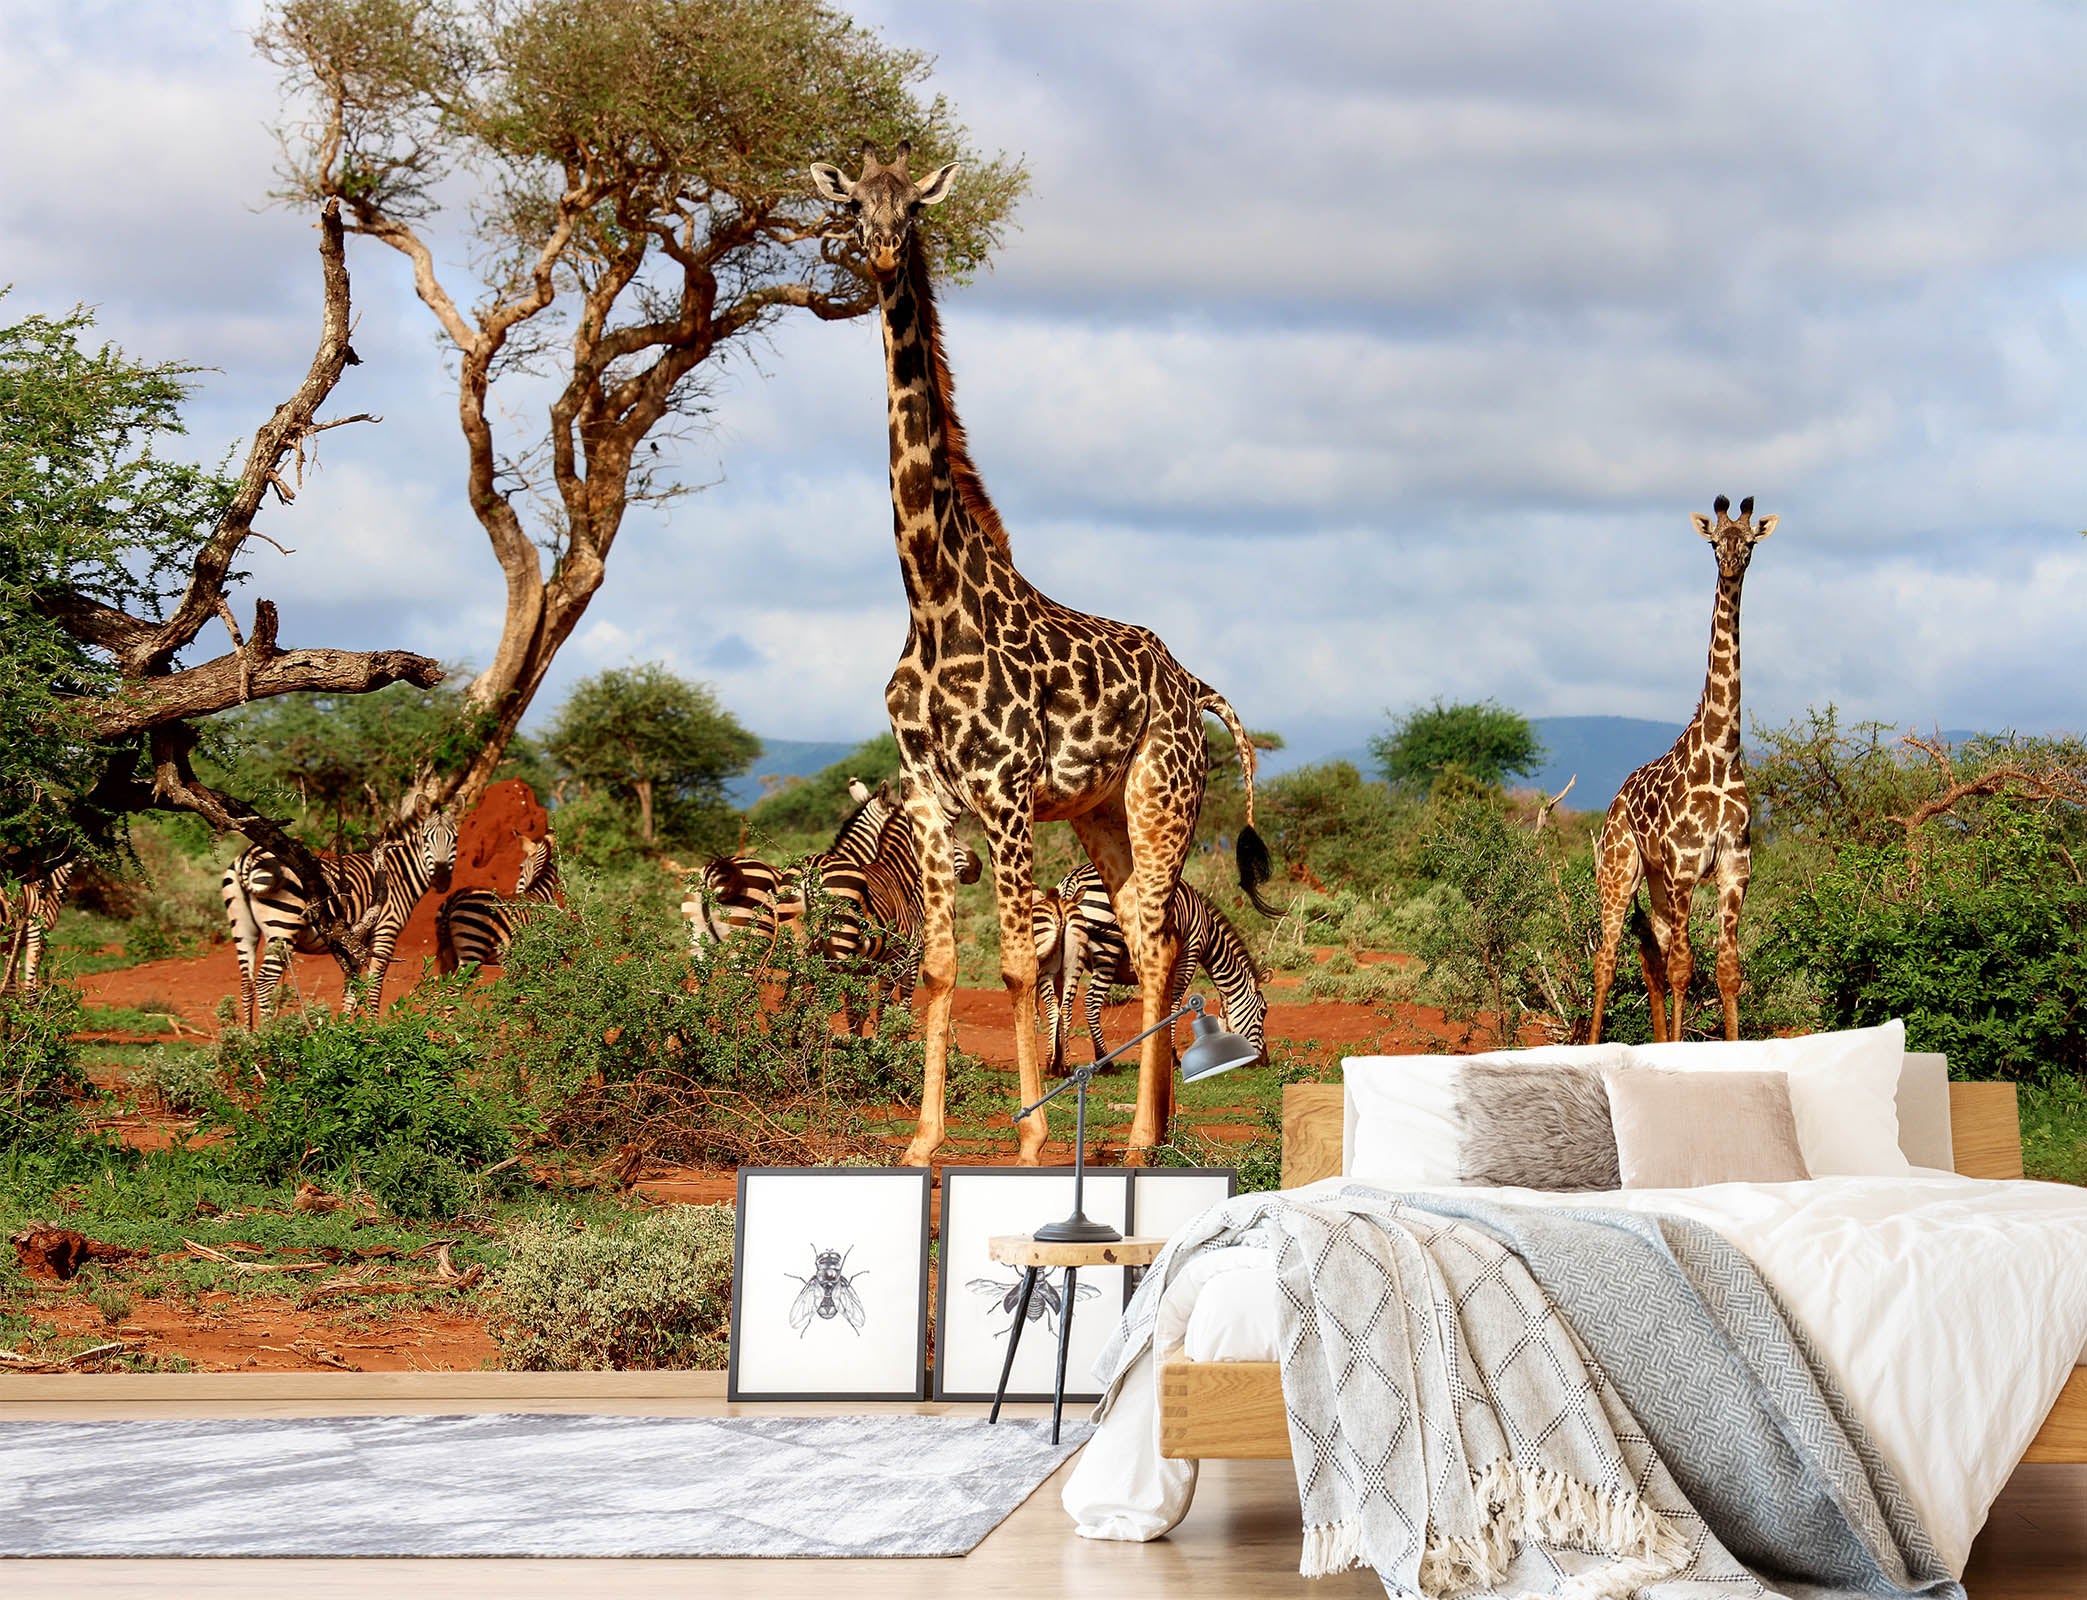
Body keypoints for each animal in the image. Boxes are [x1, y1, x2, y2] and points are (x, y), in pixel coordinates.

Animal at [809, 142, 1278, 1165]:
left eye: (913, 206)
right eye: (853, 204)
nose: (878, 251)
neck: (931, 600)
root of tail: (1194, 686)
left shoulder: (1006, 792)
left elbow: (1021, 965)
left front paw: (1025, 1140)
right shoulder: (930, 797)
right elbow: (943, 967)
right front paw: (921, 1143)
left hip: (1159, 797)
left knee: (1157, 936)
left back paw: (1138, 1138)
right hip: (1100, 812)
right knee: (1151, 936)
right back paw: (1150, 1129)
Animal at [1589, 493, 1778, 1045]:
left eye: (1749, 542)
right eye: (1716, 542)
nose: (1731, 564)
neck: (1720, 752)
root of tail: (1616, 800)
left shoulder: (1736, 867)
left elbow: (1726, 969)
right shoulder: (1685, 868)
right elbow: (1683, 968)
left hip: (1653, 881)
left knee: (1649, 956)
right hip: (1619, 870)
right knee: (1608, 959)